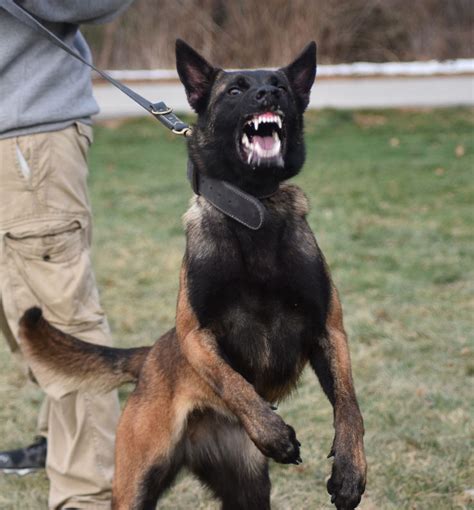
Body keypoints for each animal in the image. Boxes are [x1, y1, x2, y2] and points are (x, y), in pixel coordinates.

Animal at [18, 37, 366, 508]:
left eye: (280, 86)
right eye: (235, 91)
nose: (268, 95)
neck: (253, 212)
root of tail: (149, 355)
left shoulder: (329, 329)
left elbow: (349, 405)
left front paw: (350, 470)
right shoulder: (195, 334)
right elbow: (232, 382)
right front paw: (273, 433)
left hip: (247, 492)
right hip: (135, 483)